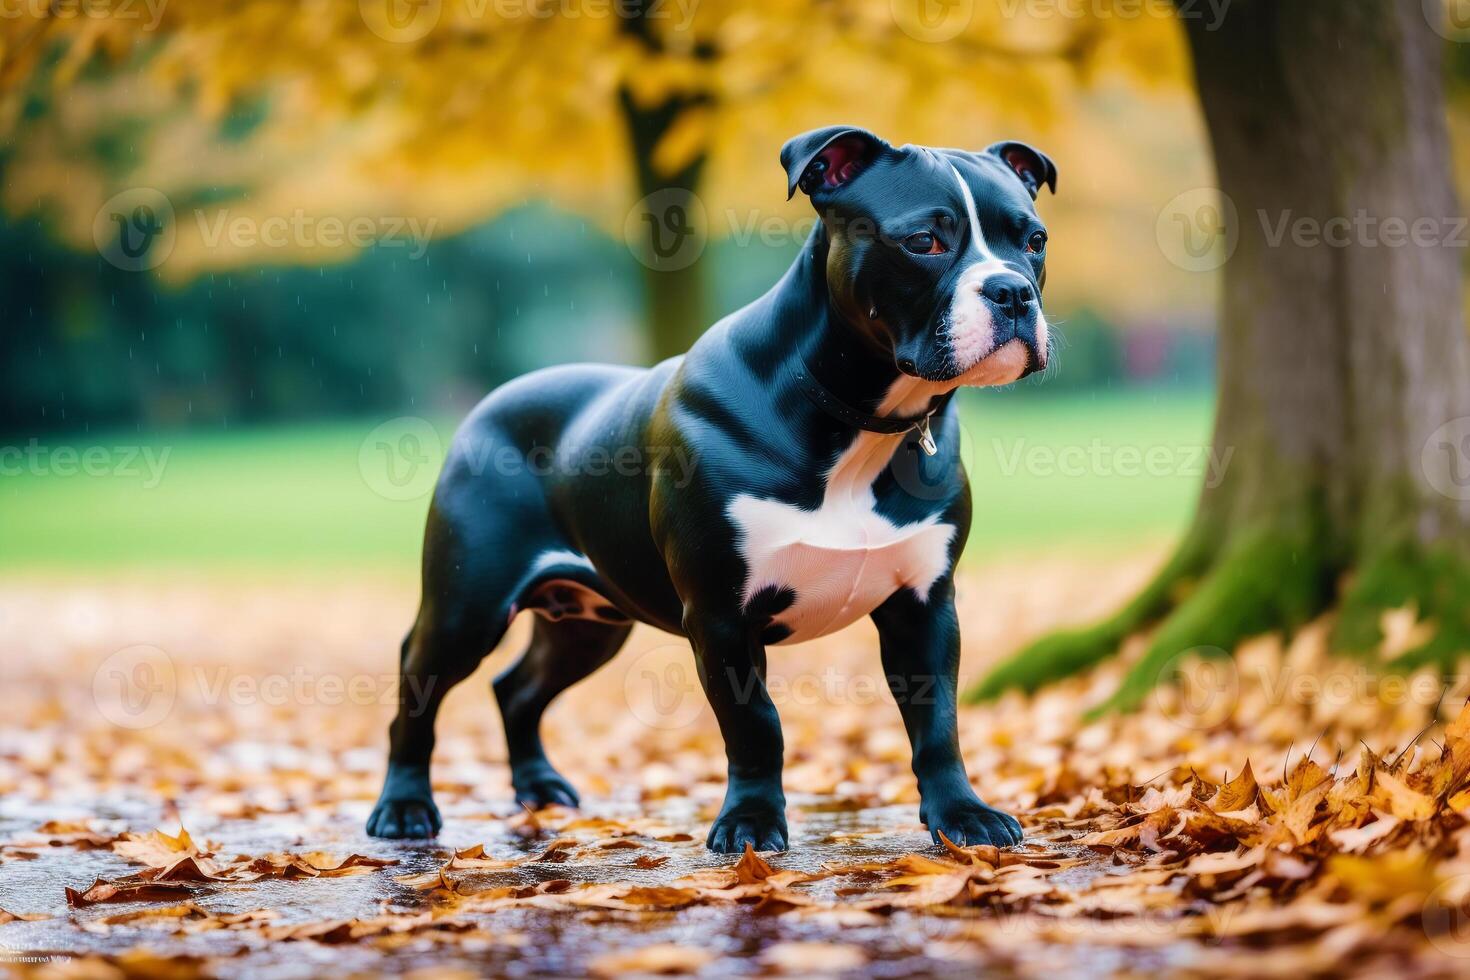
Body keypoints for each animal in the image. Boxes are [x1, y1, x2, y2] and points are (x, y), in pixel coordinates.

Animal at [367, 128, 1058, 852]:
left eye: (1034, 240)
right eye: (923, 241)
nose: (1012, 291)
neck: (860, 421)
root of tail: (488, 404)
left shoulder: (924, 604)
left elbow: (938, 722)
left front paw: (962, 814)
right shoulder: (721, 614)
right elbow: (755, 724)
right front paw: (751, 823)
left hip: (589, 619)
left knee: (517, 689)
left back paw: (540, 788)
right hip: (466, 606)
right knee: (418, 690)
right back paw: (403, 807)